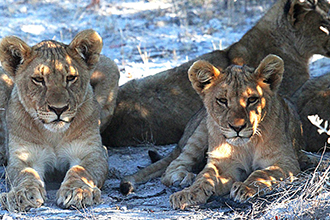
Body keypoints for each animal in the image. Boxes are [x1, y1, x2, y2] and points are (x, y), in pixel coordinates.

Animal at [0, 29, 117, 211]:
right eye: (38, 79)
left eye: (70, 78)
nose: (59, 109)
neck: (53, 135)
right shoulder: (23, 157)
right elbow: (25, 174)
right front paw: (23, 194)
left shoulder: (93, 152)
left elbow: (80, 170)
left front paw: (78, 191)